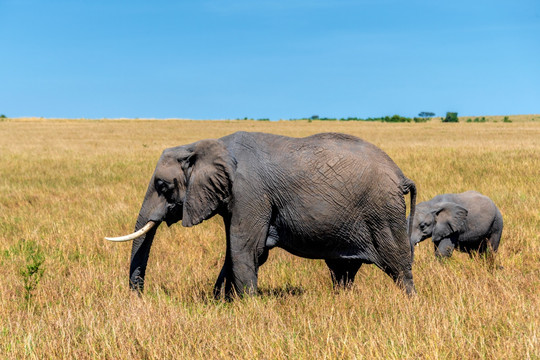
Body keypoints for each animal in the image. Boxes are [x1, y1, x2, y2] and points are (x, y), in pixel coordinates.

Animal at [105, 131, 418, 296]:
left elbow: (245, 248)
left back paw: (409, 302)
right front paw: (220, 301)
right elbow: (233, 251)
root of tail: (401, 176)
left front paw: (247, 305)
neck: (204, 145)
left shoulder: (249, 193)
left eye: (162, 185)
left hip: (382, 211)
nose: (139, 299)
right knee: (343, 269)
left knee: (397, 263)